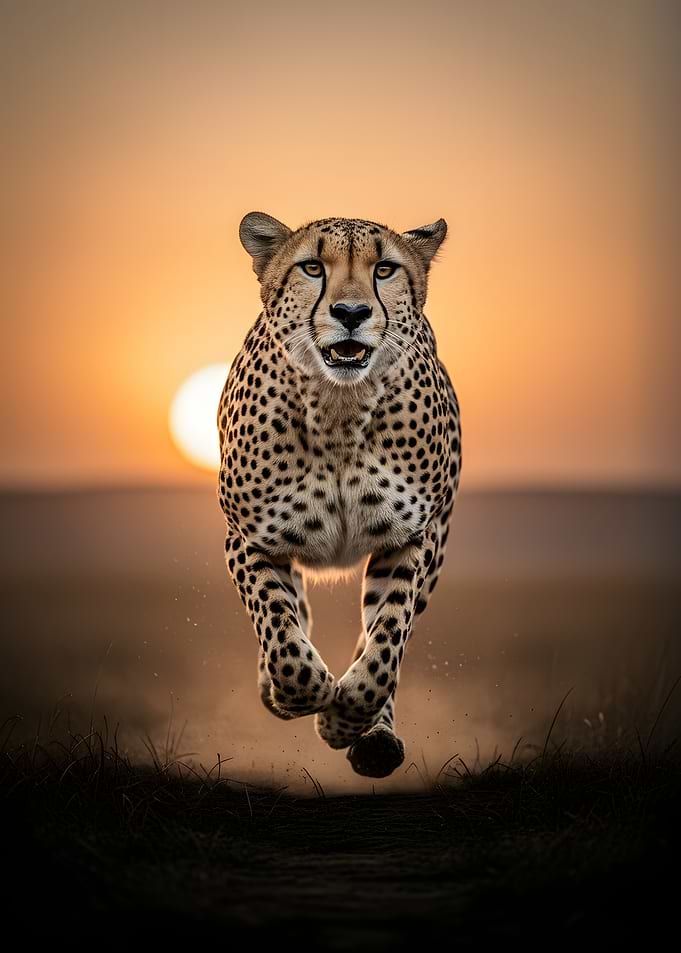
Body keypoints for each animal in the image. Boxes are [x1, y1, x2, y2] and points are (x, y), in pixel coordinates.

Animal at [217, 212, 461, 778]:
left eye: (385, 269)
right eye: (312, 267)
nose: (351, 312)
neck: (340, 410)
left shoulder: (410, 540)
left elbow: (385, 643)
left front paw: (345, 719)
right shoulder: (249, 539)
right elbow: (282, 634)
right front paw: (298, 694)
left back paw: (375, 739)